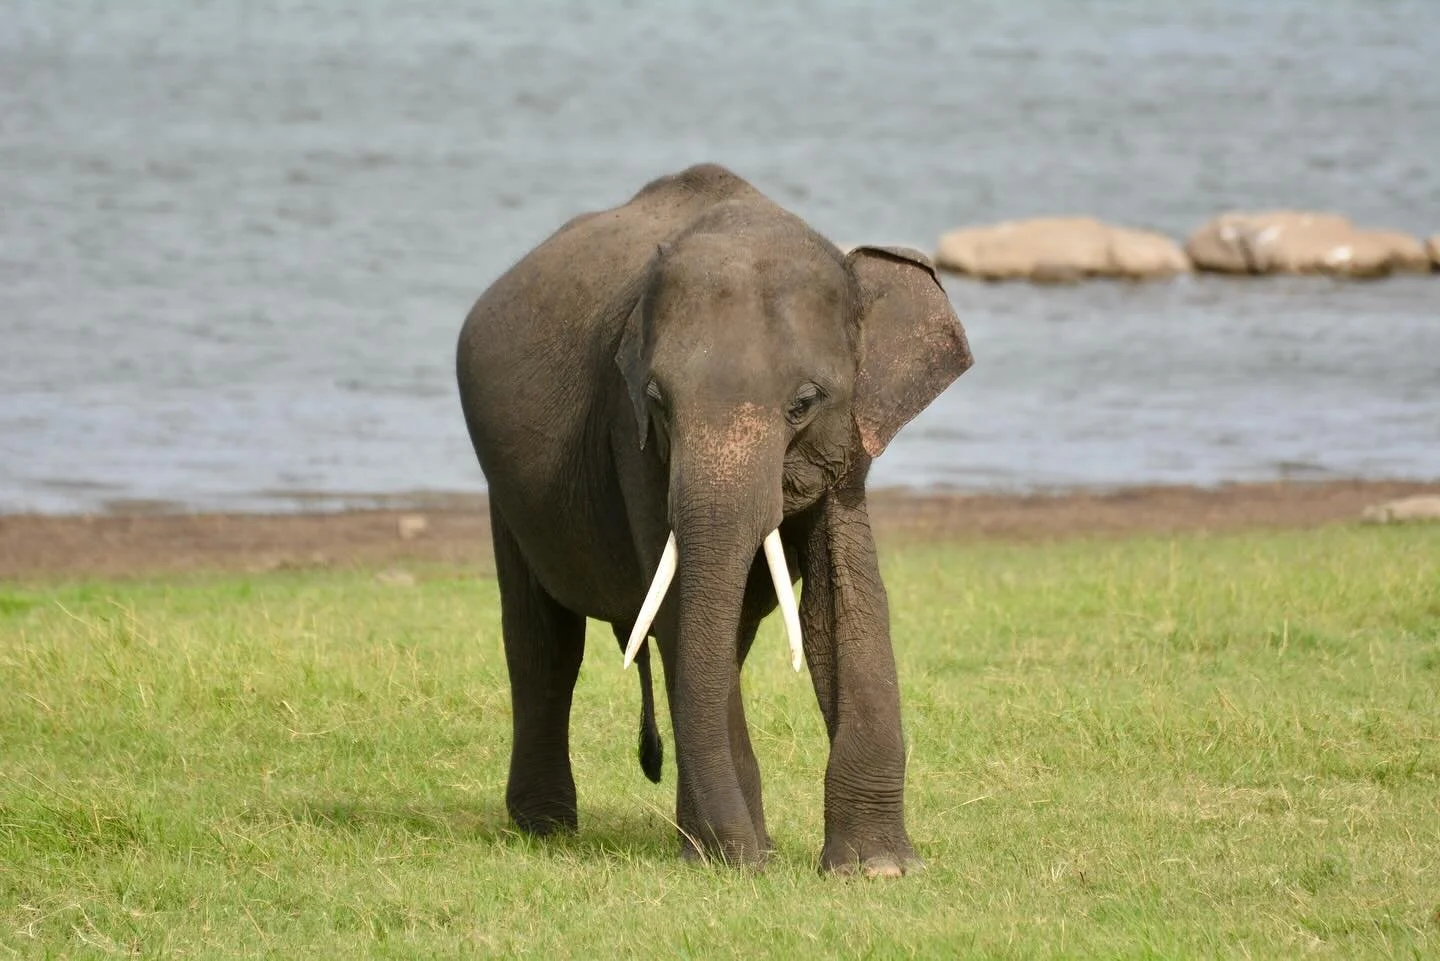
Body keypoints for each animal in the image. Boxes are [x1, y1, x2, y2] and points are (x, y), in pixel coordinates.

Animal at [456, 164, 973, 875]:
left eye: (804, 402)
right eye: (658, 401)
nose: (748, 857)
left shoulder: (851, 440)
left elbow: (844, 604)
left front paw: (878, 869)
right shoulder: (629, 436)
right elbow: (677, 610)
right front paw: (734, 861)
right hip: (507, 496)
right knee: (544, 644)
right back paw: (548, 829)